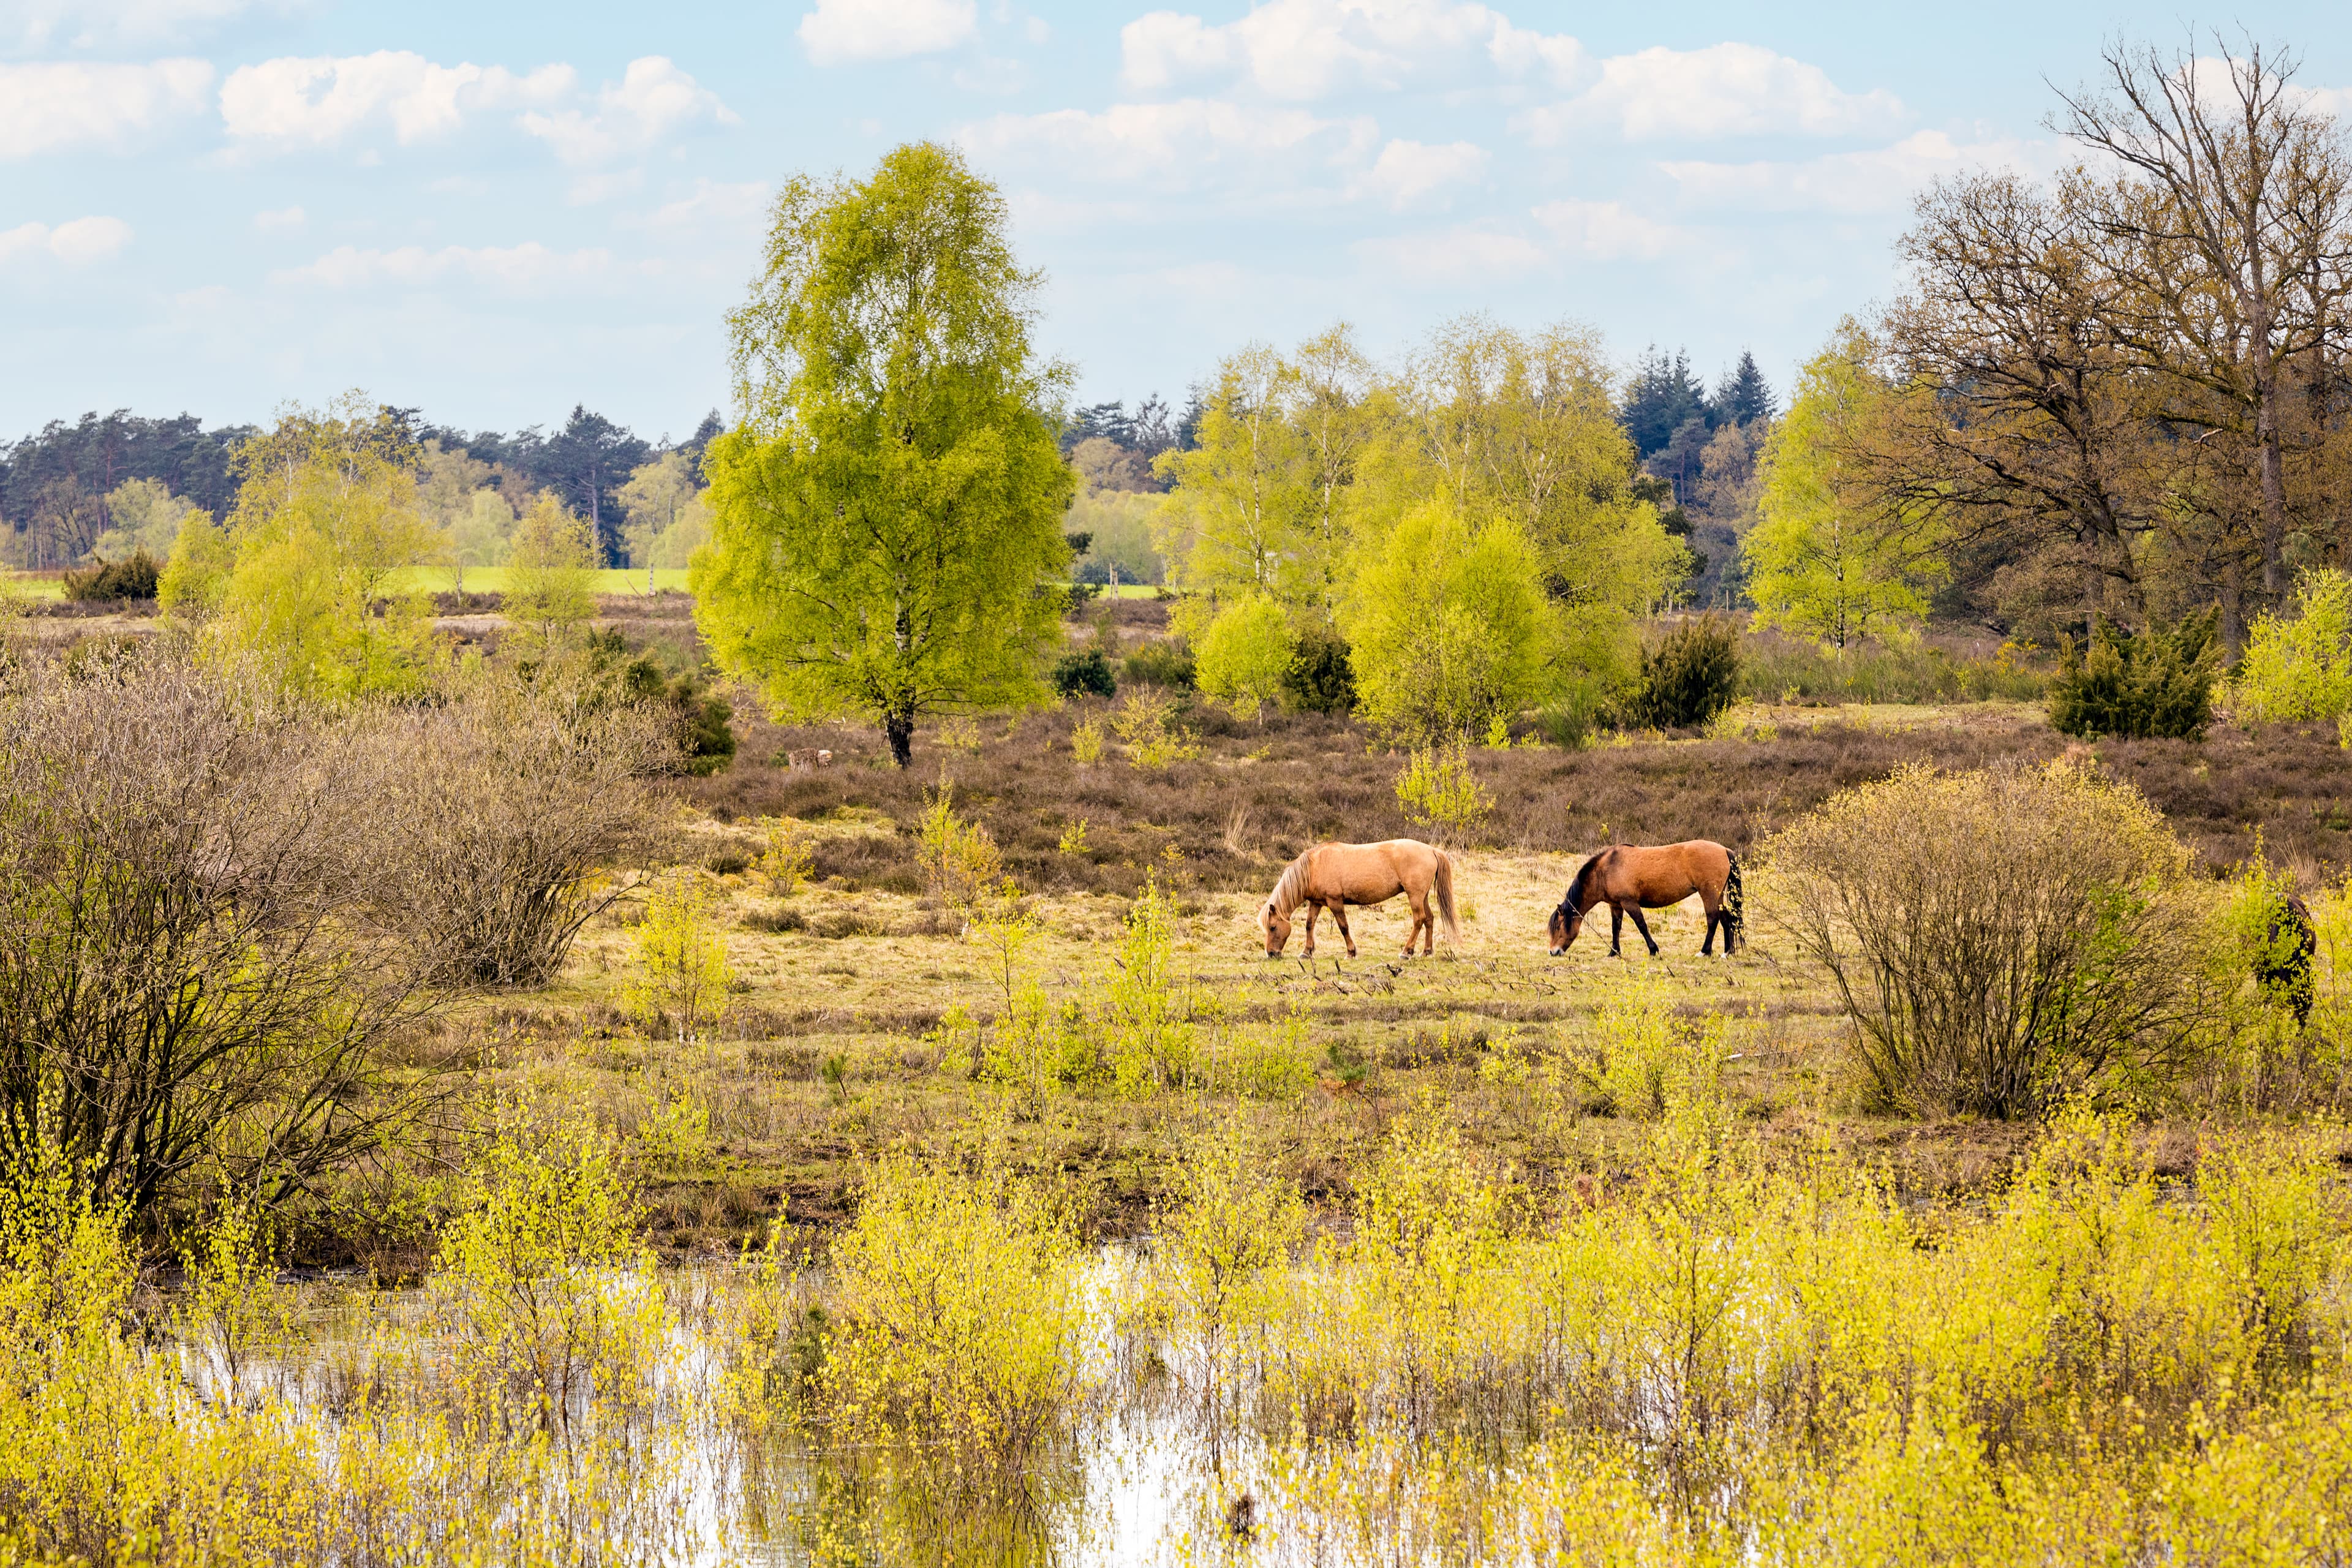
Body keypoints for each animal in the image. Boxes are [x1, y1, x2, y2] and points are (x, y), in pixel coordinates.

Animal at [1259, 840, 1457, 959]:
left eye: (1273, 927)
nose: (1271, 953)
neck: (1315, 866)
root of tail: (1431, 850)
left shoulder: (1335, 902)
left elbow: (1343, 927)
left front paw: (1351, 952)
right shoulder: (1316, 902)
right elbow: (1309, 925)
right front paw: (1307, 952)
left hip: (1415, 896)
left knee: (1419, 920)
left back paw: (1406, 952)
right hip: (1422, 896)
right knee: (1429, 919)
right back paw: (1427, 951)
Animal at [1548, 841, 1742, 958]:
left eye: (1558, 926)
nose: (1553, 951)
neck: (1606, 869)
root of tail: (1724, 850)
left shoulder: (1629, 903)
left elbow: (1641, 925)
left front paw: (1653, 950)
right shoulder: (1616, 905)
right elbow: (1616, 928)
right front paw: (1614, 952)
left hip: (1708, 893)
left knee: (1713, 919)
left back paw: (1704, 951)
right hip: (1718, 895)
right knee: (1726, 919)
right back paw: (1727, 952)